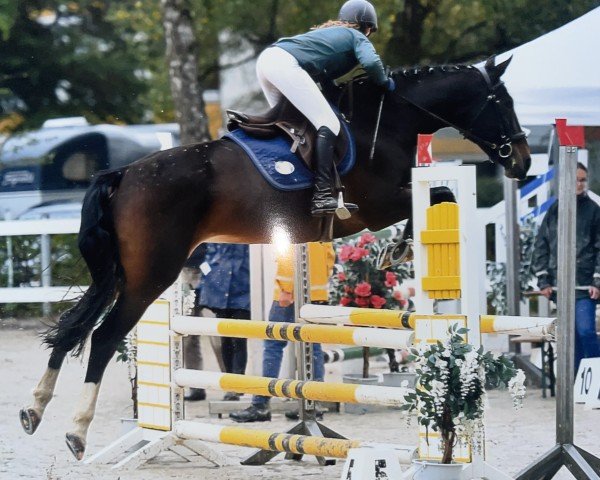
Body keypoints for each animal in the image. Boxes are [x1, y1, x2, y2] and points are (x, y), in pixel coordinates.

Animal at [21, 54, 532, 460]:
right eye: (503, 102)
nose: (522, 162)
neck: (388, 120)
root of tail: (123, 174)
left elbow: (438, 195)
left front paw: (395, 248)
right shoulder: (378, 204)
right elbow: (441, 192)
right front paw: (397, 247)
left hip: (123, 275)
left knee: (73, 328)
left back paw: (34, 409)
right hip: (151, 276)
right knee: (104, 337)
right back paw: (76, 432)